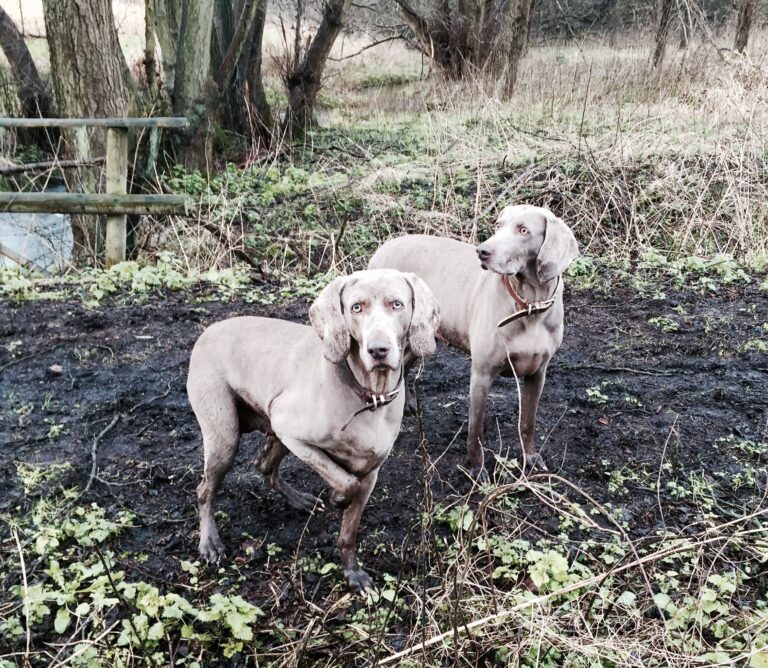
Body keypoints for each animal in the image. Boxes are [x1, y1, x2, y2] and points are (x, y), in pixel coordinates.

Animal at [370, 206, 576, 478]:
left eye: (523, 230)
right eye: (499, 225)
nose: (483, 251)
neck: (529, 304)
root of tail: (382, 248)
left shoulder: (538, 373)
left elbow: (528, 422)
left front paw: (530, 458)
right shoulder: (482, 374)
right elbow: (475, 429)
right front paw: (476, 470)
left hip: (418, 339)